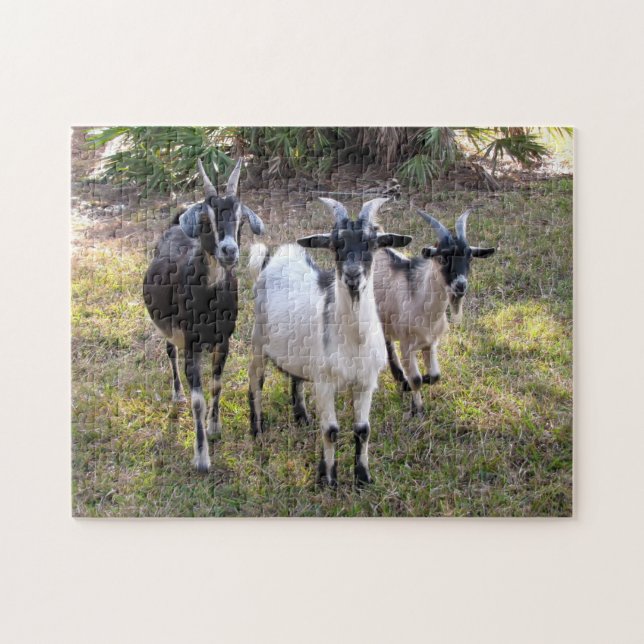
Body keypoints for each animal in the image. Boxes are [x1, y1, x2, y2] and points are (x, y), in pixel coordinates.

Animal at [143, 158, 265, 472]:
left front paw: (215, 426)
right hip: (168, 328)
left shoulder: (224, 341)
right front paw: (201, 458)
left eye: (240, 220)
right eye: (207, 220)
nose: (229, 250)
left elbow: (217, 384)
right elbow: (197, 399)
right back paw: (176, 394)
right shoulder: (192, 344)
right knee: (169, 352)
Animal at [247, 198, 412, 486]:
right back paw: (257, 429)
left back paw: (301, 416)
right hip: (258, 340)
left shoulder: (365, 382)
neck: (354, 340)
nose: (353, 275)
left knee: (296, 377)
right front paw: (328, 477)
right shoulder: (324, 383)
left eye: (372, 243)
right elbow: (331, 431)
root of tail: (275, 258)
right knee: (255, 382)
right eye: (335, 244)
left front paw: (362, 477)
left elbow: (363, 430)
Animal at [373, 208, 496, 415]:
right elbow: (416, 379)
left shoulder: (430, 344)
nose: (460, 285)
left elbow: (436, 375)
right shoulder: (407, 345)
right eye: (443, 257)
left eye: (470, 257)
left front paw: (414, 385)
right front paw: (417, 409)